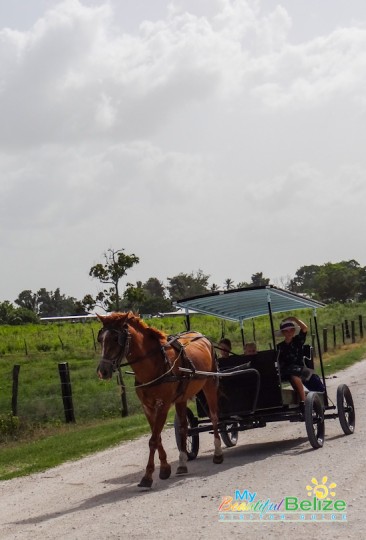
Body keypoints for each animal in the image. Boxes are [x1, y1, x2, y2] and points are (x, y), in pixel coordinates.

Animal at [96, 310, 223, 488]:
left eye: (116, 338)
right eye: (100, 339)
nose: (103, 371)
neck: (154, 364)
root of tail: (202, 336)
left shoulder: (163, 405)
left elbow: (153, 440)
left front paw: (148, 476)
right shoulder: (148, 407)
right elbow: (157, 437)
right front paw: (164, 468)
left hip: (210, 384)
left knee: (214, 417)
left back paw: (218, 453)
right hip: (181, 397)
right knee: (183, 427)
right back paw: (182, 463)